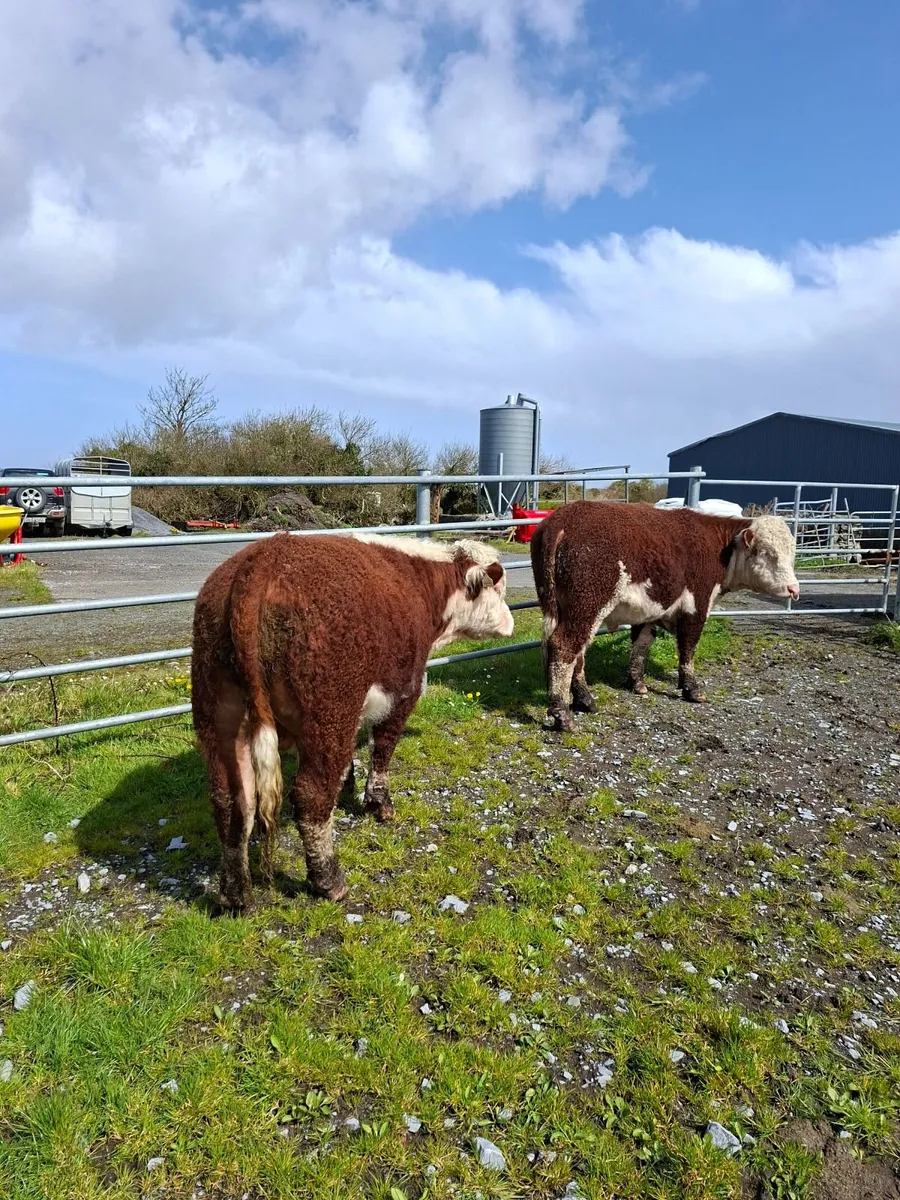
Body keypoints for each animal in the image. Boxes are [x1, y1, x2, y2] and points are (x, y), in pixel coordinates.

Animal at [191, 532, 515, 909]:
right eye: (498, 589)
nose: (510, 622)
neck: (423, 584)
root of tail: (263, 559)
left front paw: (348, 785)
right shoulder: (403, 691)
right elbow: (383, 748)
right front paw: (379, 804)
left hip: (219, 717)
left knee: (230, 801)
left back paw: (236, 895)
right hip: (328, 710)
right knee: (310, 796)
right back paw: (329, 881)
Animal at [531, 502, 799, 731]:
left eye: (792, 552)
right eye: (766, 552)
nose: (794, 589)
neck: (720, 548)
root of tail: (562, 520)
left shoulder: (648, 612)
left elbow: (641, 644)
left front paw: (637, 683)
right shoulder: (696, 605)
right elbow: (688, 649)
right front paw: (692, 689)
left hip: (562, 605)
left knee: (577, 652)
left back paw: (584, 700)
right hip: (588, 603)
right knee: (565, 647)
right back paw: (563, 715)